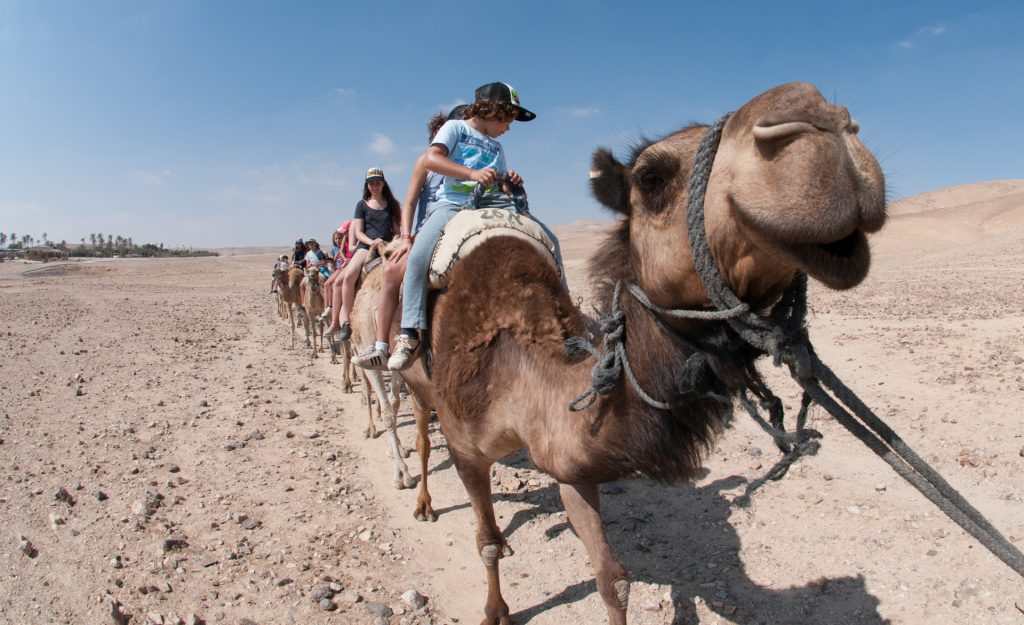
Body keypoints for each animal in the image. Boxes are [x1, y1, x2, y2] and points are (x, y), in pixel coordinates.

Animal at [397, 82, 888, 622]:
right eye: (651, 178)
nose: (819, 119)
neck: (517, 366)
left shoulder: (570, 458)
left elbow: (613, 579)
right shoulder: (466, 447)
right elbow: (483, 540)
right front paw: (496, 610)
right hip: (414, 386)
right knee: (420, 435)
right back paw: (420, 501)